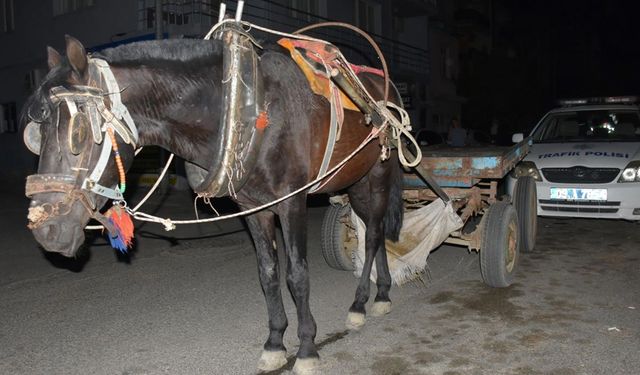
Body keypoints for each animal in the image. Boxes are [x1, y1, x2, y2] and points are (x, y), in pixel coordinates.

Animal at [23, 34, 404, 374]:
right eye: (34, 137)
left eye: (78, 134)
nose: (47, 231)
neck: (247, 107)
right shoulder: (254, 208)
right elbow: (268, 273)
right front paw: (275, 343)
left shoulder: (292, 202)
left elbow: (297, 275)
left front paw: (307, 347)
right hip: (355, 181)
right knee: (372, 229)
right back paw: (382, 291)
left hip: (377, 176)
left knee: (373, 235)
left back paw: (363, 302)